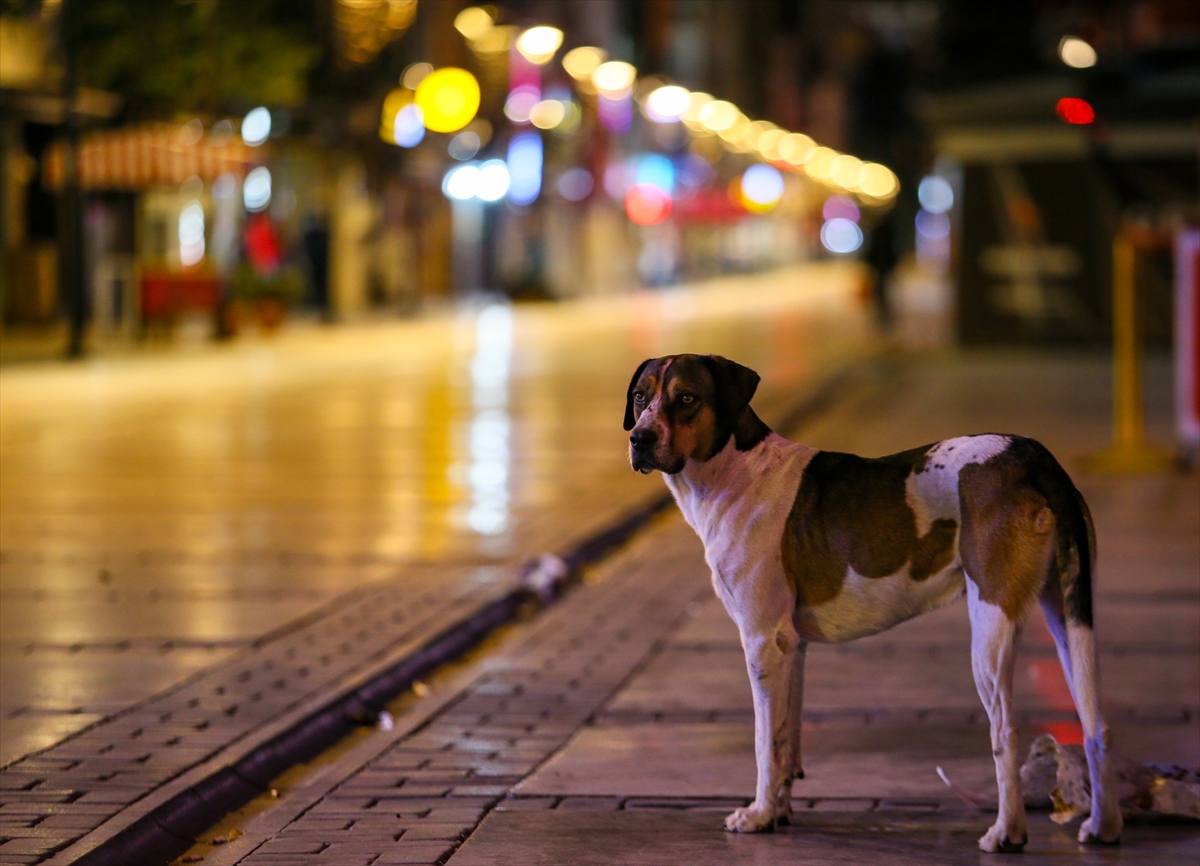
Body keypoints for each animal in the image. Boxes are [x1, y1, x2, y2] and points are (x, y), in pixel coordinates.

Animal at [628, 352, 1123, 849]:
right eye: (640, 396)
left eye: (686, 398)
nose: (639, 439)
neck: (733, 470)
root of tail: (1032, 456)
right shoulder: (792, 648)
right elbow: (788, 739)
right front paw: (781, 811)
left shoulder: (762, 641)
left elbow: (765, 743)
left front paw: (759, 814)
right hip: (1068, 616)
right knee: (1096, 725)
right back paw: (1102, 826)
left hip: (990, 630)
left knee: (1006, 730)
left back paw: (1006, 832)